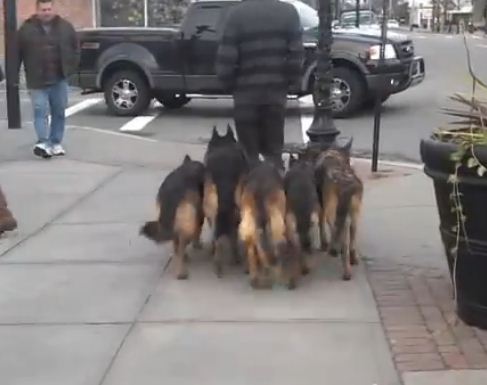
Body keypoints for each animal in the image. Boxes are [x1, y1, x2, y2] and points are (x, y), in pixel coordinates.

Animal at [314, 149, 364, 280]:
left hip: (332, 210)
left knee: (342, 234)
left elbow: (322, 223)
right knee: (352, 233)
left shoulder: (322, 205)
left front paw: (325, 245)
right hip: (354, 210)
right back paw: (352, 258)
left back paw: (345, 269)